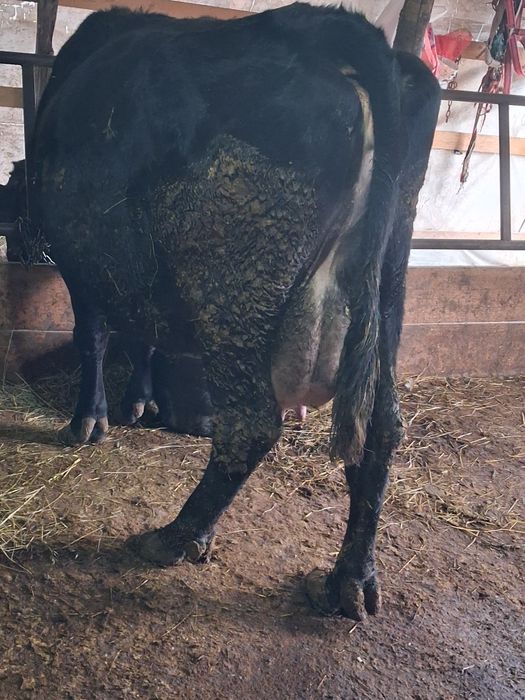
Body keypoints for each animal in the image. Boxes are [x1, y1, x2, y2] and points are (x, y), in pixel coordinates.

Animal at [27, 3, 440, 619]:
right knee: (381, 427)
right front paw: (139, 403)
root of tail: (331, 29)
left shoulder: (85, 263)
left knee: (250, 424)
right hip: (388, 287)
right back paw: (351, 579)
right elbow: (143, 336)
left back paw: (177, 536)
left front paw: (89, 421)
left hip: (232, 281)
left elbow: (93, 336)